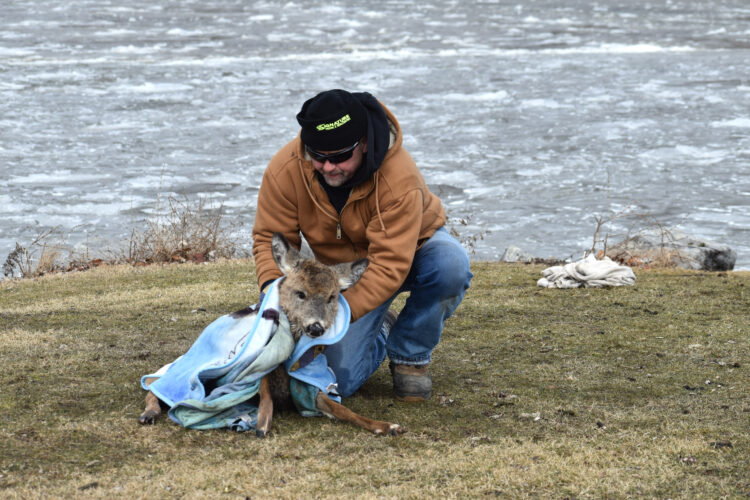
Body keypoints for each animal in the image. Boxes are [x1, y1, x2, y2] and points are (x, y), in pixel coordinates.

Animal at [140, 232, 404, 437]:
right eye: (300, 293)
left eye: (332, 296)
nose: (316, 327)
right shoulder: (259, 370)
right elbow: (264, 390)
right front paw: (262, 425)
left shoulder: (309, 387)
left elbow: (341, 409)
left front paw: (387, 426)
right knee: (155, 382)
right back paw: (148, 413)